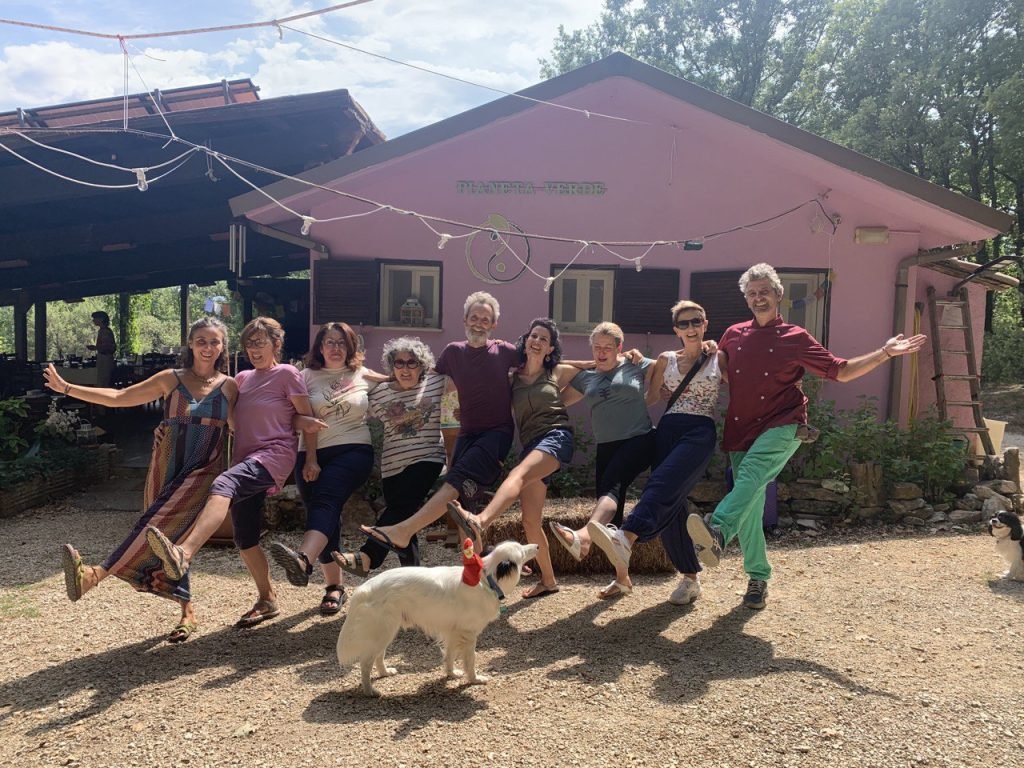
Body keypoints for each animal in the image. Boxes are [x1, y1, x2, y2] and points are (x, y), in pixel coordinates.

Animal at [337, 540, 539, 696]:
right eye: (522, 551)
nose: (537, 545)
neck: (485, 579)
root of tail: (364, 588)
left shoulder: (453, 632)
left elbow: (449, 655)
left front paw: (451, 674)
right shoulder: (468, 633)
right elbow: (470, 659)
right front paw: (474, 679)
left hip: (387, 632)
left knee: (378, 656)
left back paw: (385, 673)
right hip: (383, 632)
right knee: (365, 663)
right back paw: (369, 691)